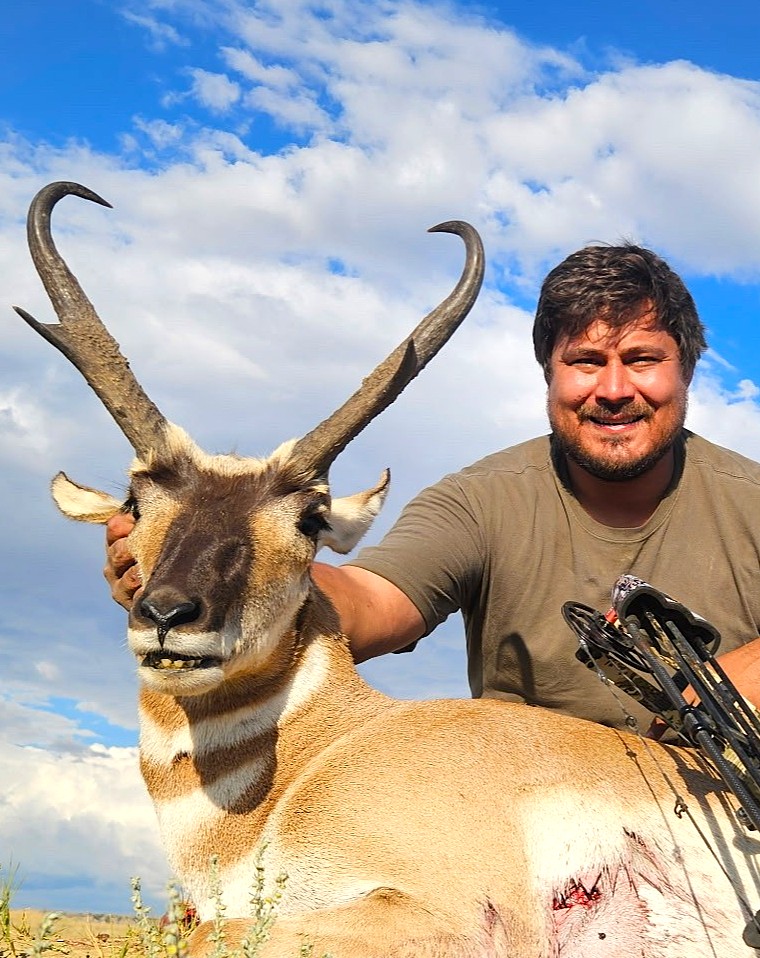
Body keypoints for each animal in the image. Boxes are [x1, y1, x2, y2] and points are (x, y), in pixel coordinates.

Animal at [16, 181, 760, 958]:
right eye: (136, 502)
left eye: (310, 520)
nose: (169, 617)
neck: (323, 754)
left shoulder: (444, 914)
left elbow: (198, 938)